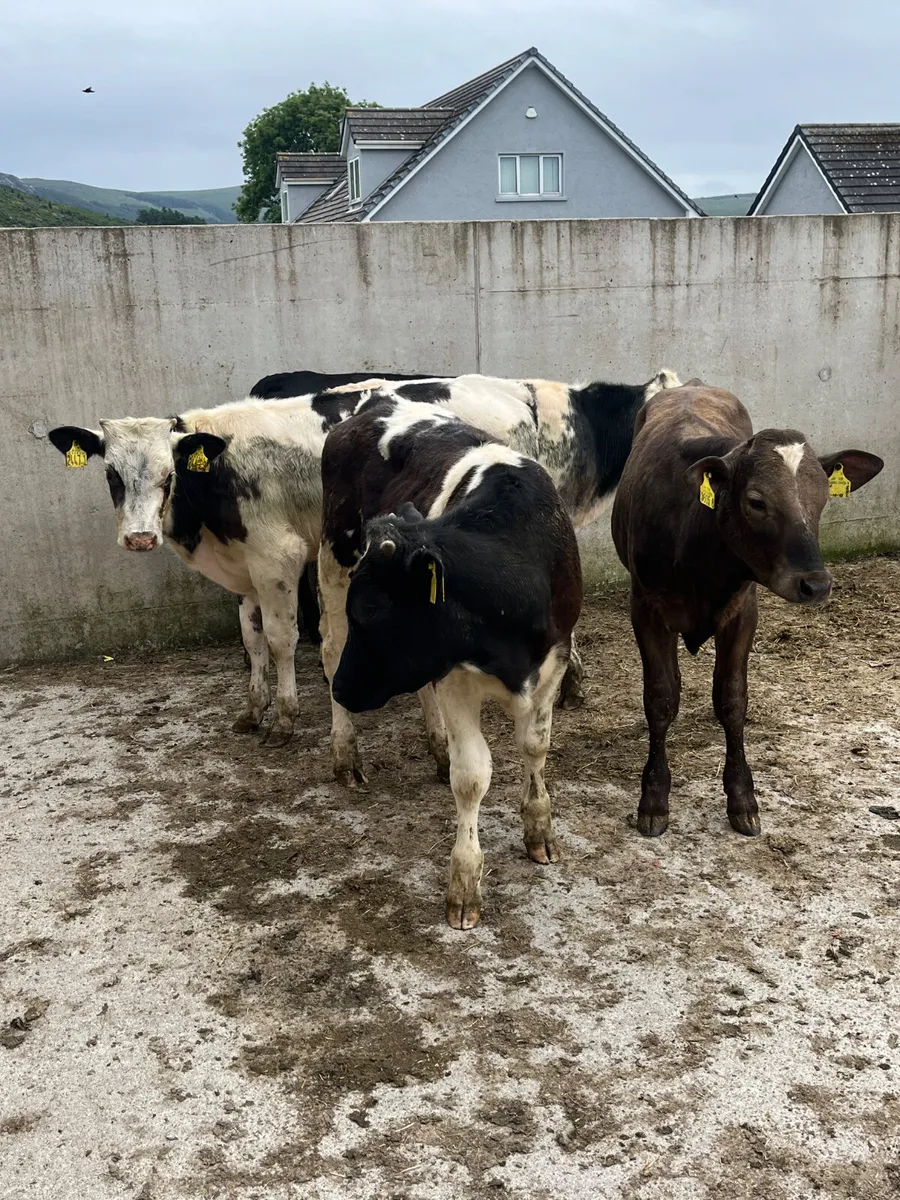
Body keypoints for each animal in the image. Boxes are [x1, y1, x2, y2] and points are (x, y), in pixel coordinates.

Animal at [320, 392, 583, 929]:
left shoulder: (554, 661)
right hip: (333, 558)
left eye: (373, 610)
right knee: (330, 650)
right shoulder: (458, 680)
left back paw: (435, 747)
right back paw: (346, 753)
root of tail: (374, 405)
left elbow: (535, 746)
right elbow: (473, 776)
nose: (344, 689)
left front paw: (539, 827)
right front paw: (464, 883)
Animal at [610, 380, 884, 838]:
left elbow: (732, 700)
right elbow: (661, 699)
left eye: (823, 498)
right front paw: (653, 798)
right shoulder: (645, 609)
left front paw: (742, 798)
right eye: (757, 501)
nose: (816, 584)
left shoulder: (742, 613)